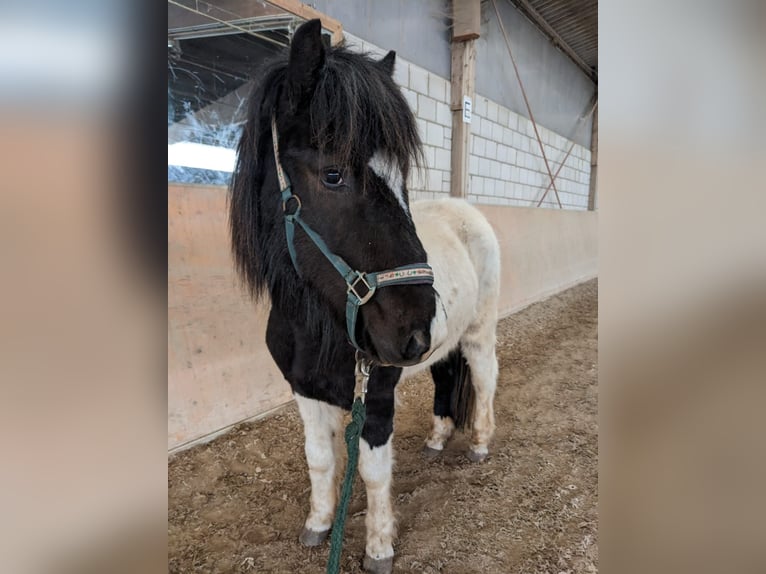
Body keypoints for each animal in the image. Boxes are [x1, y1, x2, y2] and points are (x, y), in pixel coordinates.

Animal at [228, 19, 504, 574]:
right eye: (333, 174)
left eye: (401, 179)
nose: (414, 328)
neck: (319, 329)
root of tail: (469, 212)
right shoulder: (305, 391)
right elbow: (319, 459)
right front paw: (318, 524)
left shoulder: (374, 396)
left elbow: (375, 472)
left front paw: (379, 547)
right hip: (444, 345)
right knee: (447, 375)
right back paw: (438, 438)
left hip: (478, 332)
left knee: (485, 378)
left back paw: (480, 443)